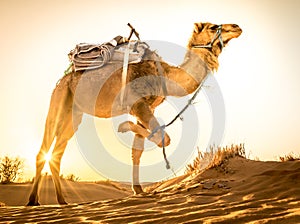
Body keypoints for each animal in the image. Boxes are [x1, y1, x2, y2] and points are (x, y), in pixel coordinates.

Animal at [27, 21, 241, 206]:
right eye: (213, 27)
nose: (237, 27)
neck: (164, 74)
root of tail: (64, 78)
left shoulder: (148, 107)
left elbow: (138, 149)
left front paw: (138, 189)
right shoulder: (137, 104)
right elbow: (164, 138)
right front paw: (123, 127)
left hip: (75, 114)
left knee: (57, 152)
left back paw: (62, 201)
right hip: (59, 100)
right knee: (44, 147)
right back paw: (33, 201)